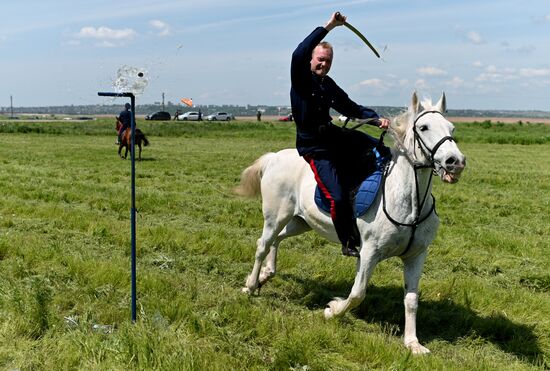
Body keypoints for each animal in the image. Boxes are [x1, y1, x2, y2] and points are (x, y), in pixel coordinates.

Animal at [236, 92, 466, 354]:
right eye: (423, 127)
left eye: (451, 127)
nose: (455, 162)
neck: (409, 202)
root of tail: (274, 157)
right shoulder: (369, 253)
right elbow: (357, 293)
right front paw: (332, 310)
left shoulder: (416, 255)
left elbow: (411, 299)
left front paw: (413, 344)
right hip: (275, 216)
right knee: (263, 244)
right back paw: (250, 285)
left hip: (299, 221)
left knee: (278, 239)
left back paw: (266, 274)